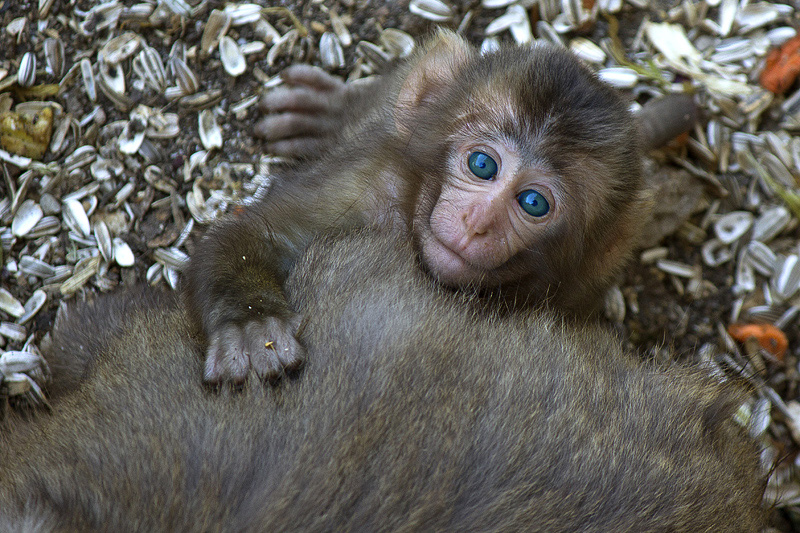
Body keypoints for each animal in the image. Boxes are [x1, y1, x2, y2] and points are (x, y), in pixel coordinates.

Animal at [184, 30, 652, 384]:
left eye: (533, 203)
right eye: (482, 164)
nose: (477, 222)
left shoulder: (574, 291)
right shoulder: (368, 186)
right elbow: (254, 234)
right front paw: (251, 324)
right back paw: (336, 112)